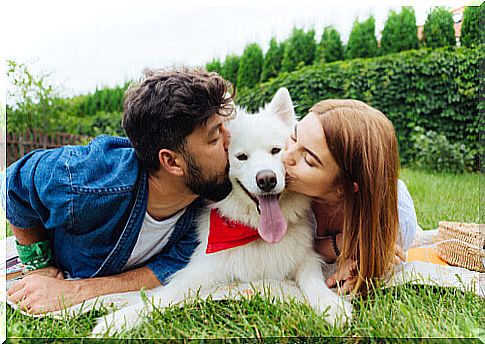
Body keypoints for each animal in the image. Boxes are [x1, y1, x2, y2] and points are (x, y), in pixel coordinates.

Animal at [92, 88, 352, 336]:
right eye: (241, 157)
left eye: (276, 150)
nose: (266, 179)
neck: (255, 233)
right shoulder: (198, 272)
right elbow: (163, 296)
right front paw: (119, 320)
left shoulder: (307, 259)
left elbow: (313, 281)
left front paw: (332, 306)